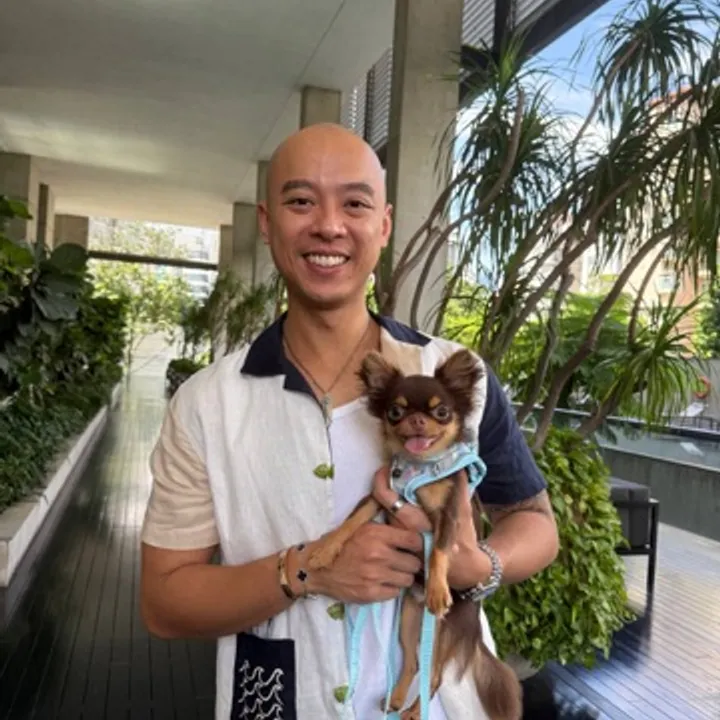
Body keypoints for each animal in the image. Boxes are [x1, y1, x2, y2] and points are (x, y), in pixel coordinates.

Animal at [308, 349, 523, 720]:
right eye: (395, 412)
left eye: (441, 412)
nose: (419, 421)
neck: (416, 467)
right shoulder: (379, 497)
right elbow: (352, 521)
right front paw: (326, 548)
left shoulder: (447, 516)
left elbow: (438, 550)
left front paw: (438, 588)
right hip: (408, 625)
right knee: (412, 664)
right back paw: (396, 700)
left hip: (442, 635)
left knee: (434, 676)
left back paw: (412, 710)